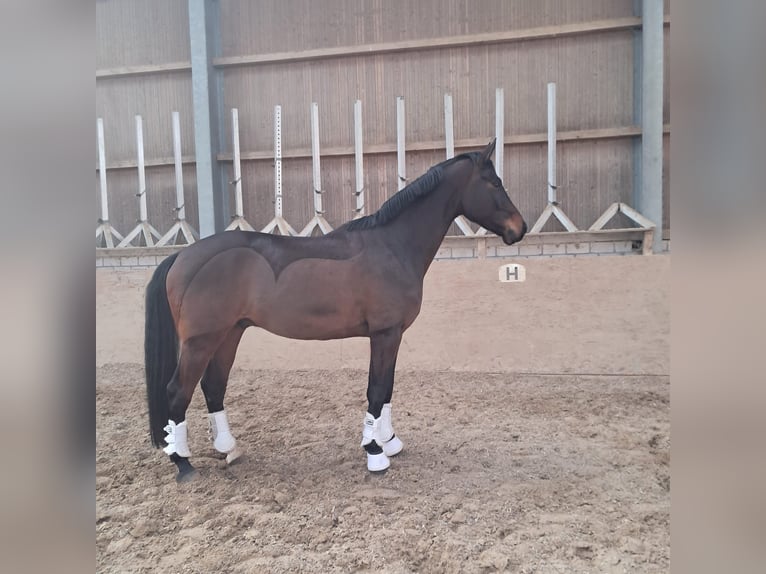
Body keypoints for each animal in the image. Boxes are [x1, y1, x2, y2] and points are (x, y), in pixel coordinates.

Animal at [145, 138, 527, 482]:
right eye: (494, 183)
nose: (519, 228)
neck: (392, 245)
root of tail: (183, 255)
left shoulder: (392, 336)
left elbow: (387, 388)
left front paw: (388, 441)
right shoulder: (384, 334)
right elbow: (376, 390)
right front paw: (374, 453)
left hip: (230, 333)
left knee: (213, 386)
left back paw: (228, 448)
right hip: (201, 341)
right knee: (178, 391)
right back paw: (182, 463)